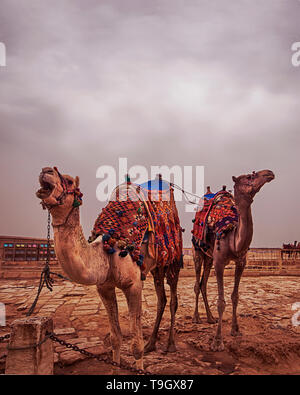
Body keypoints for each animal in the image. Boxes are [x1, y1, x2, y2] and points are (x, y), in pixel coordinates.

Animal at [35, 166, 180, 372]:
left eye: (69, 181)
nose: (46, 170)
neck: (107, 249)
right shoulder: (104, 287)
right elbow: (115, 338)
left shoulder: (134, 286)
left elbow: (135, 344)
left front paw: (140, 368)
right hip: (156, 267)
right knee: (161, 298)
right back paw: (152, 343)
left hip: (173, 257)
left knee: (173, 298)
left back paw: (170, 345)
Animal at [192, 169, 274, 352]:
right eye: (250, 176)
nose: (269, 173)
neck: (232, 239)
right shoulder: (219, 263)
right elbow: (221, 302)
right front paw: (217, 341)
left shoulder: (241, 262)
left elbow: (235, 296)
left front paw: (235, 330)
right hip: (197, 252)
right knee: (197, 284)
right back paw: (196, 318)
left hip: (209, 257)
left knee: (203, 284)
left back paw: (210, 318)